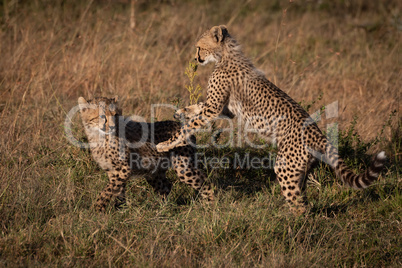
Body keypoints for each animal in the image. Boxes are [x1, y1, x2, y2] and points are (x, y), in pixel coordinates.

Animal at [77, 96, 214, 211]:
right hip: (153, 170)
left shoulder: (123, 169)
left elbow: (108, 190)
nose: (111, 127)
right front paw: (120, 209)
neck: (98, 137)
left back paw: (210, 206)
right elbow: (117, 190)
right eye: (102, 117)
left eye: (115, 115)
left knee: (204, 181)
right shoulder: (112, 171)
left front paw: (96, 209)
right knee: (166, 186)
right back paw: (162, 208)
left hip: (182, 168)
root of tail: (181, 125)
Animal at [155, 25, 384, 214]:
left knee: (299, 206)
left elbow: (190, 126)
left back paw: (292, 228)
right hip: (300, 170)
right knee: (302, 199)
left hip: (285, 166)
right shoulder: (225, 109)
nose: (196, 58)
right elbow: (197, 108)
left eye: (199, 47)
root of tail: (318, 133)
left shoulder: (215, 107)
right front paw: (180, 112)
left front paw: (166, 143)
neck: (226, 54)